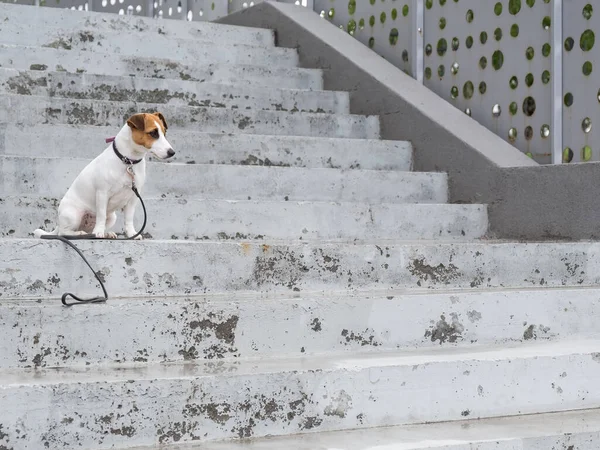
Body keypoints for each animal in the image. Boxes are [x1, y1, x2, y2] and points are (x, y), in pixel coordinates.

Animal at [33, 111, 175, 239]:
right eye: (153, 133)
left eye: (164, 133)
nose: (172, 152)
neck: (128, 161)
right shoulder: (102, 193)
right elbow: (101, 215)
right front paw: (99, 232)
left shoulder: (133, 197)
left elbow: (129, 219)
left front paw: (131, 234)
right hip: (74, 214)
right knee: (64, 232)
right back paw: (81, 233)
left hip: (112, 217)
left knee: (88, 231)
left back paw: (105, 233)